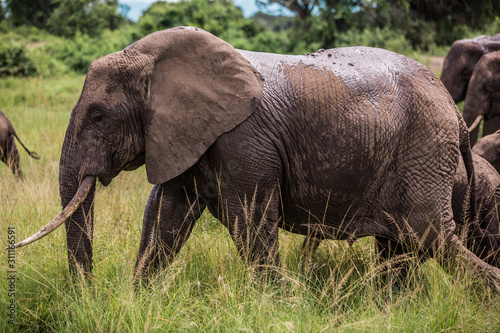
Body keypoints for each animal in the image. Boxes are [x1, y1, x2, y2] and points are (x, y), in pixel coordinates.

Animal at [11, 26, 500, 286]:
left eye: (97, 116)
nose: (88, 293)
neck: (153, 59)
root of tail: (454, 115)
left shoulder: (243, 140)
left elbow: (248, 220)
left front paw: (277, 301)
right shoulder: (188, 135)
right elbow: (165, 217)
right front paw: (138, 297)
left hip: (423, 149)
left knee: (429, 236)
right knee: (400, 248)